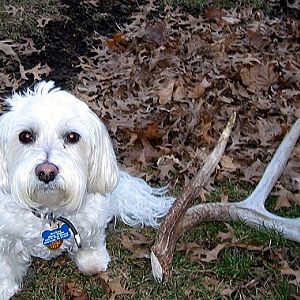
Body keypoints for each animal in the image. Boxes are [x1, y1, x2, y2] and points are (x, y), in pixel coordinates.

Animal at [0, 81, 173, 298]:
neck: (50, 211)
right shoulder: (5, 235)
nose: (46, 172)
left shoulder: (93, 216)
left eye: (72, 136)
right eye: (25, 136)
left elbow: (92, 239)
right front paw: (5, 286)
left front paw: (92, 261)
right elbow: (5, 262)